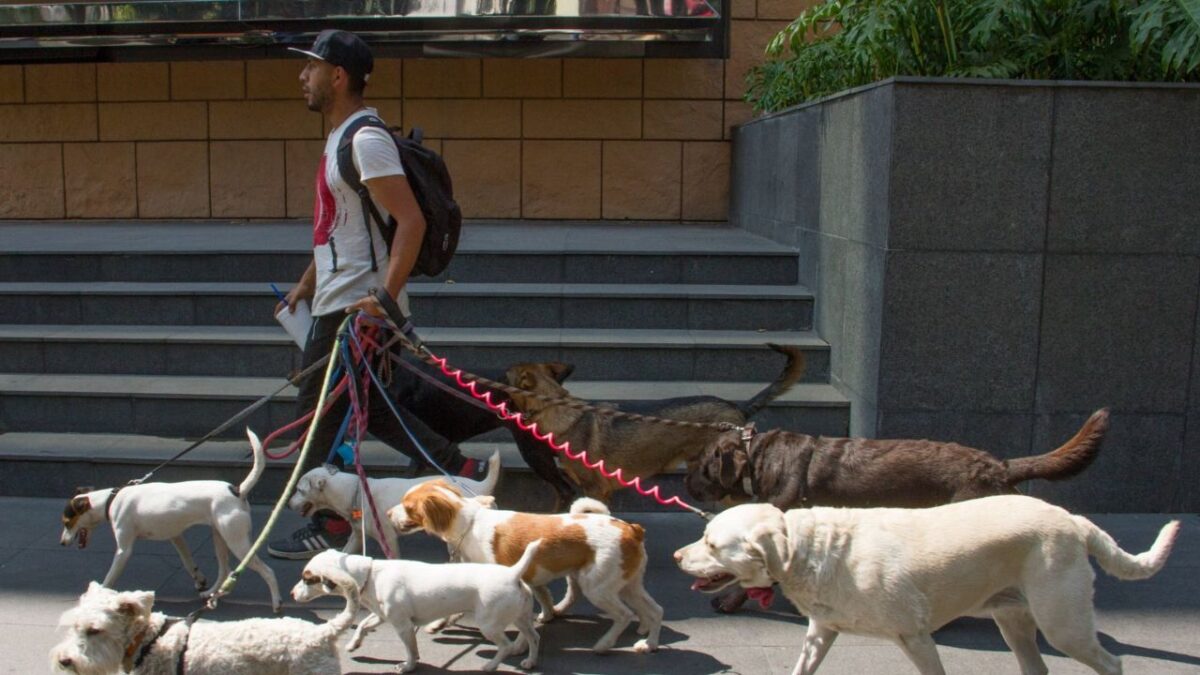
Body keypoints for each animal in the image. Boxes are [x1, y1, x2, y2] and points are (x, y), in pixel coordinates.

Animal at [295, 535, 544, 667]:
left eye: (308, 579)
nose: (292, 594)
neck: (369, 575)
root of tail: (512, 573)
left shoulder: (403, 626)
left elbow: (410, 649)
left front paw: (408, 666)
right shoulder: (382, 616)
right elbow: (363, 625)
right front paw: (354, 644)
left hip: (489, 625)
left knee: (506, 646)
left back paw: (490, 665)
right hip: (521, 619)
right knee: (534, 637)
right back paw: (530, 662)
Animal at [676, 487, 1180, 672]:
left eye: (712, 544)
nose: (679, 555)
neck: (811, 548)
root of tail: (1073, 520)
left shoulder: (915, 636)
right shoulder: (820, 632)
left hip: (1063, 622)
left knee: (1111, 663)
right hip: (1014, 621)